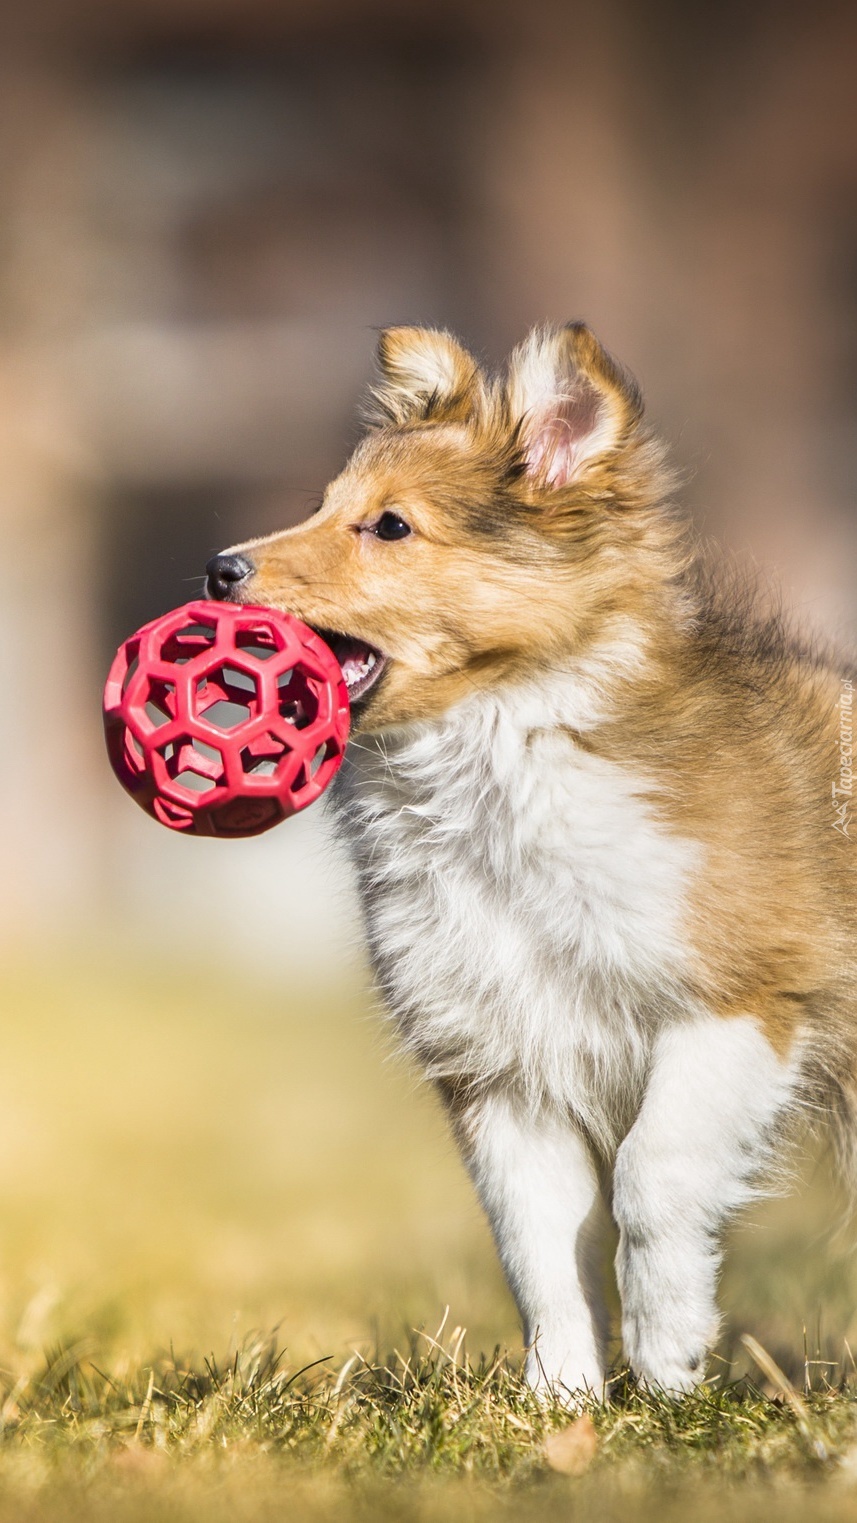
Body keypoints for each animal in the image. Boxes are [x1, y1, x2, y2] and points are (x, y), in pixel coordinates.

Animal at [205, 324, 857, 1401]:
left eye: (389, 526)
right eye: (328, 504)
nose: (217, 570)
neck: (499, 761)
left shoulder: (736, 1001)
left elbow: (651, 1174)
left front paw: (668, 1356)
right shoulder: (500, 1062)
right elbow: (538, 1241)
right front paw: (560, 1401)